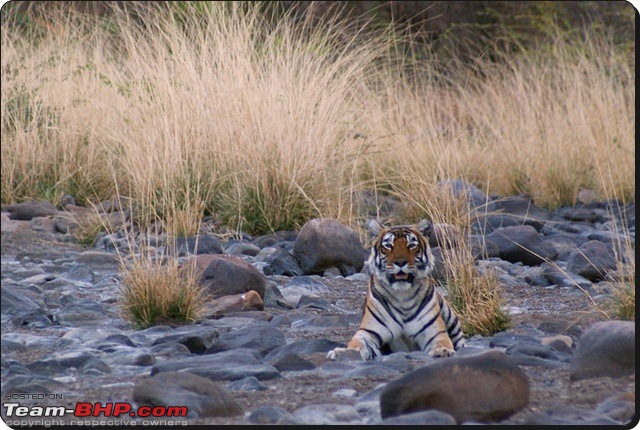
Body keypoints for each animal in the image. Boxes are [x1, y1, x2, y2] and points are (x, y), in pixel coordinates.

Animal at [330, 220, 464, 362]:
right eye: (389, 246)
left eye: (411, 245)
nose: (400, 262)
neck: (402, 295)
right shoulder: (369, 332)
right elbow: (357, 342)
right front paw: (343, 352)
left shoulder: (435, 332)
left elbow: (442, 342)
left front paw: (442, 351)